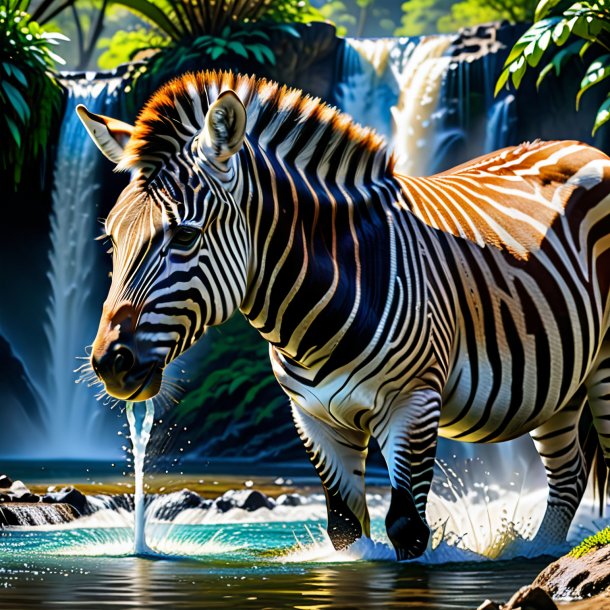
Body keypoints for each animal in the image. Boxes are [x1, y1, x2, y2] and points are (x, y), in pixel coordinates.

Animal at [78, 70, 608, 556]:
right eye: (111, 239)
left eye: (186, 235)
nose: (110, 363)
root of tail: (584, 147)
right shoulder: (314, 418)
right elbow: (345, 529)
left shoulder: (414, 405)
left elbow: (407, 528)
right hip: (559, 382)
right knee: (569, 477)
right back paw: (540, 553)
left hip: (601, 367)